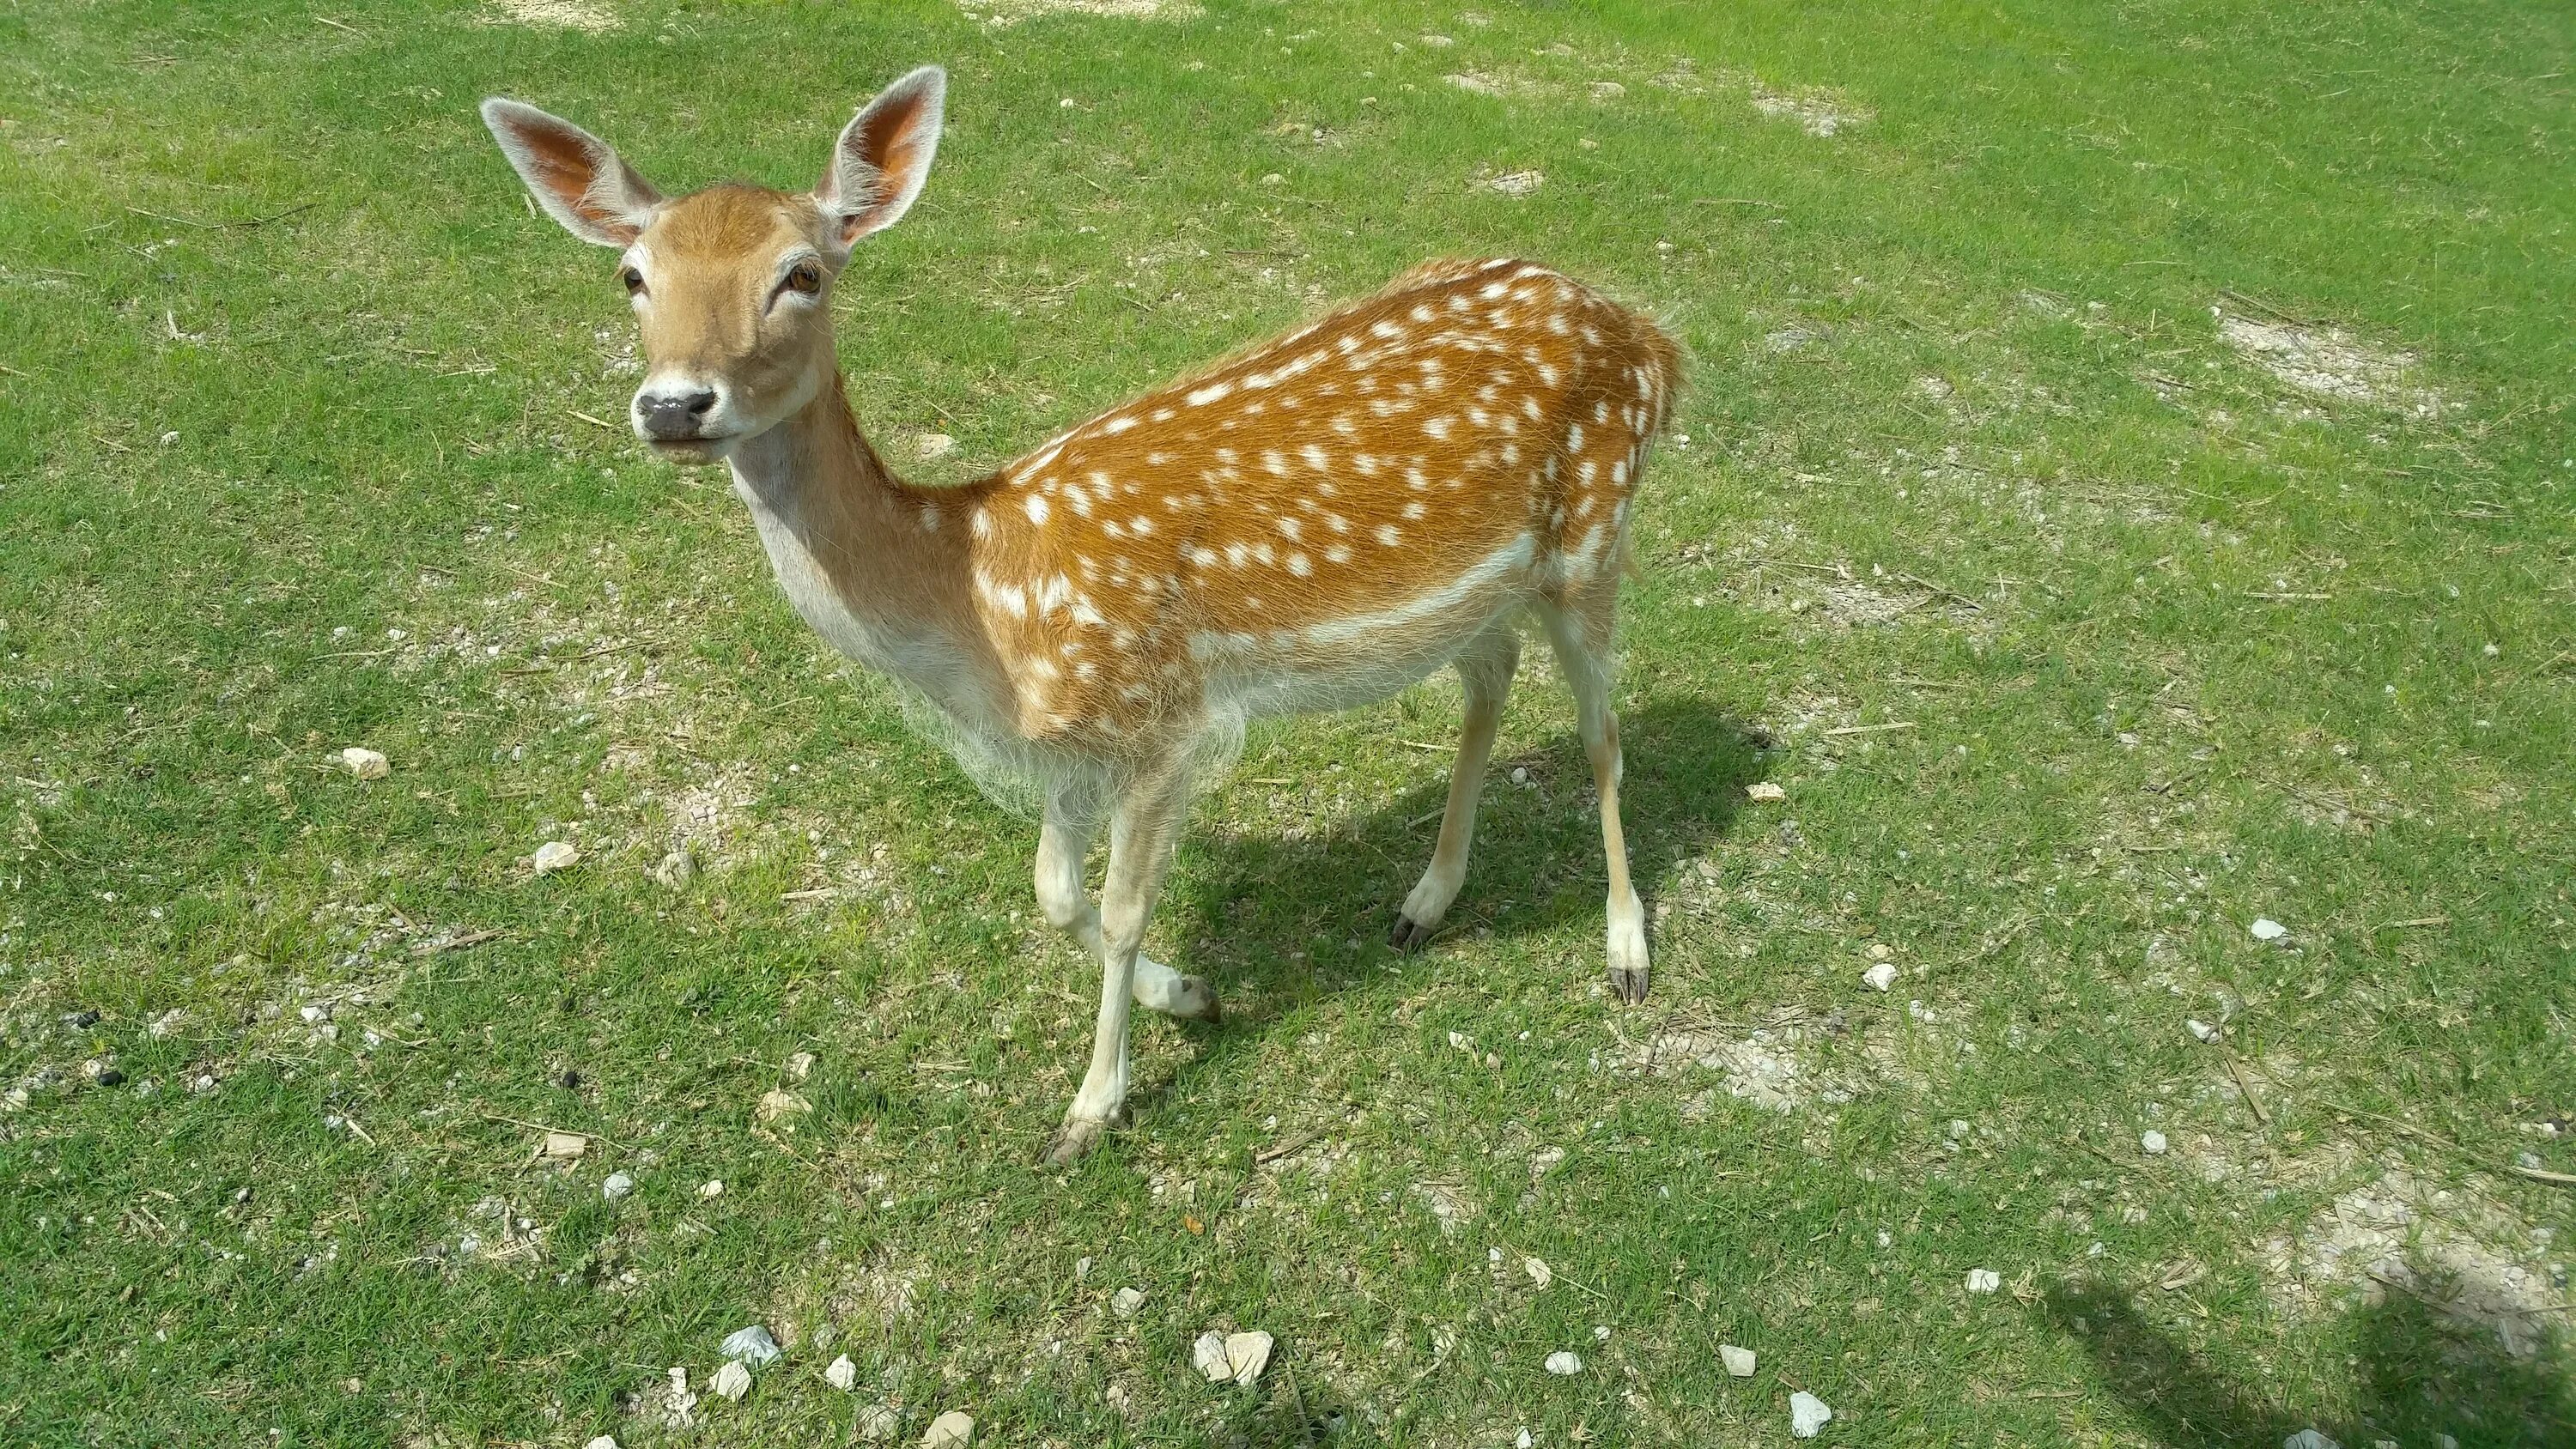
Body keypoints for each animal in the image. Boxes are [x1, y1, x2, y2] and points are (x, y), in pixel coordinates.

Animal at [479, 68, 1690, 1168]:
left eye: (803, 272)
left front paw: (1092, 1106)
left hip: (1594, 532)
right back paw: (1426, 899)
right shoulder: (1066, 739)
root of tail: (1647, 335)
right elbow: (1054, 894)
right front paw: (1193, 994)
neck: (982, 602)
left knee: (1603, 729)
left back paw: (1626, 947)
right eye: (633, 274)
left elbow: (1115, 912)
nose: (675, 404)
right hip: (1483, 591)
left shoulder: (1162, 714)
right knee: (1491, 681)